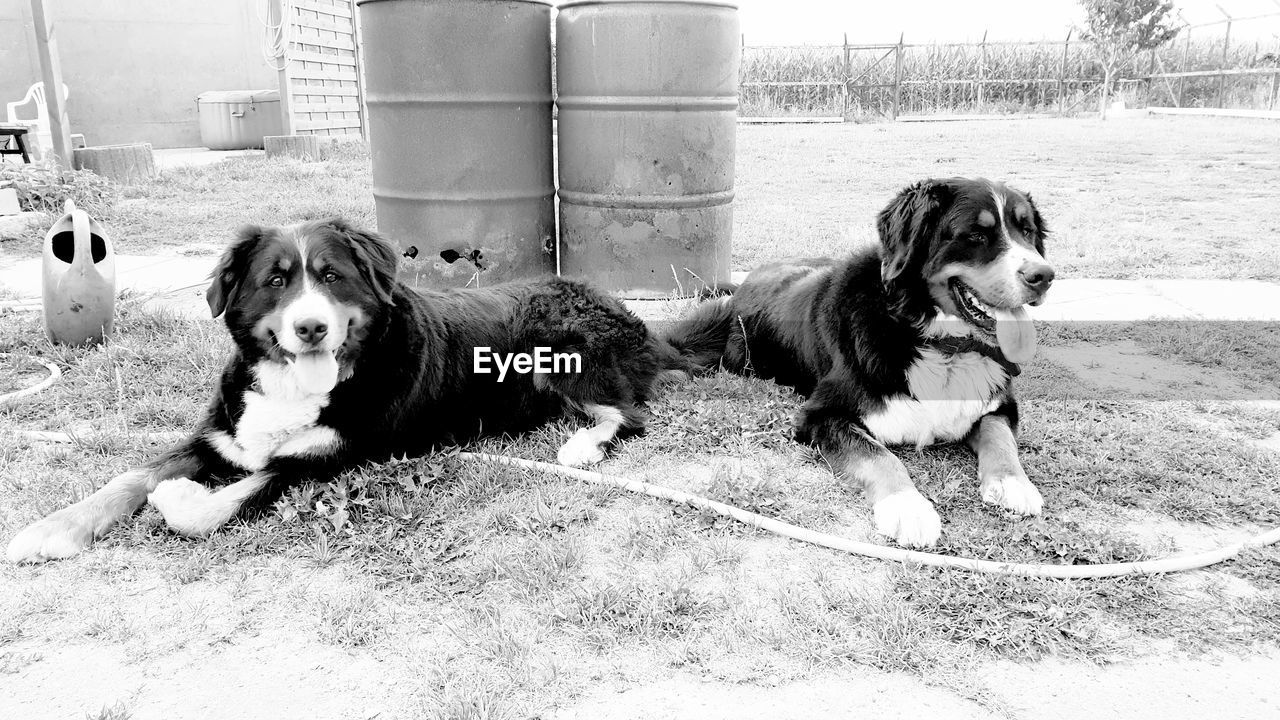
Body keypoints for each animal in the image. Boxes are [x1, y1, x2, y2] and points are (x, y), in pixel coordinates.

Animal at [7, 219, 691, 561]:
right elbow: (128, 477)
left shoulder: (325, 458)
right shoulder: (220, 436)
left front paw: (179, 500)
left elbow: (221, 503)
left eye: (332, 277)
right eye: (275, 281)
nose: (311, 327)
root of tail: (635, 318)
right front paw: (53, 527)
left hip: (559, 351)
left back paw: (581, 446)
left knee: (628, 414)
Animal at [665, 178, 1054, 543]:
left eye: (1028, 231)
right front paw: (907, 506)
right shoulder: (822, 415)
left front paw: (1013, 482)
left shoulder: (999, 404)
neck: (939, 346)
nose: (1044, 276)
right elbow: (879, 455)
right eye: (975, 234)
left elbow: (998, 434)